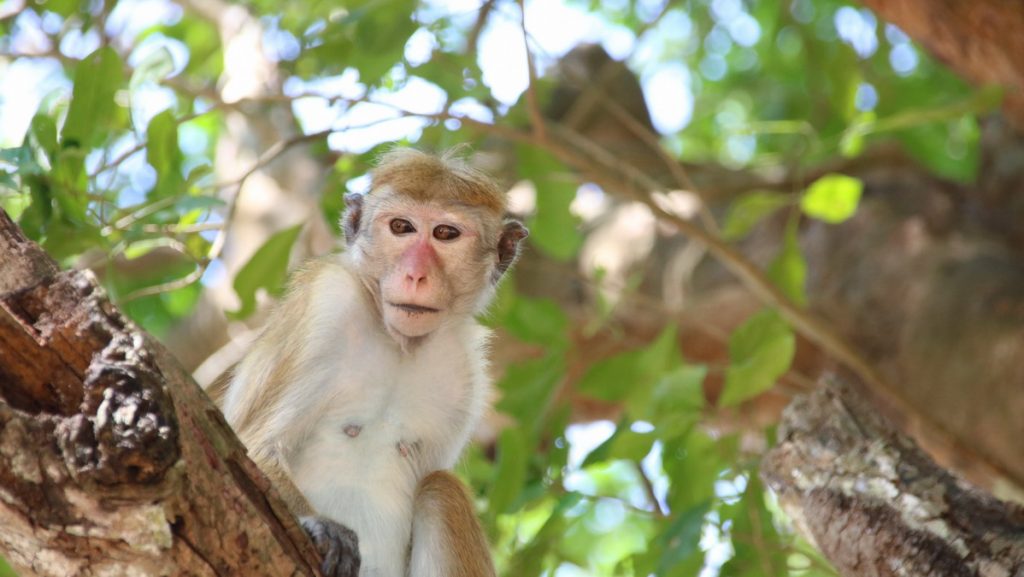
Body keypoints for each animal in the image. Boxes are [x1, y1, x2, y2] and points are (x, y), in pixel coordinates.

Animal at [209, 148, 528, 577]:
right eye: (401, 227)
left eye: (445, 234)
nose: (415, 274)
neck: (398, 343)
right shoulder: (327, 302)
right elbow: (252, 445)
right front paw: (320, 526)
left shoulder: (464, 368)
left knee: (440, 489)